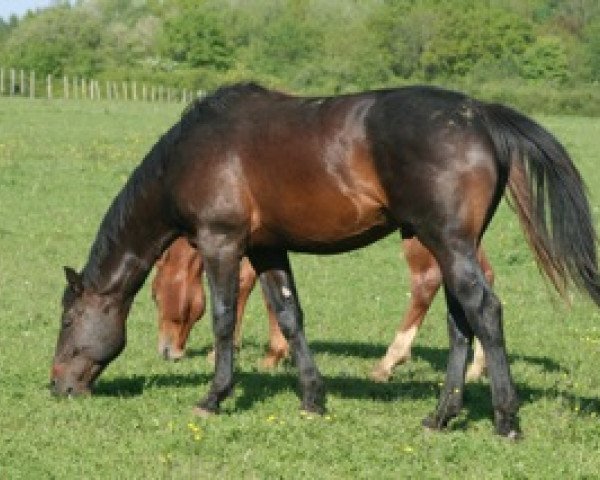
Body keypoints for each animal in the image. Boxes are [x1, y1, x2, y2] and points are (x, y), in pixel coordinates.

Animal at [151, 234, 492, 380]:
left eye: (154, 295)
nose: (166, 351)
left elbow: (252, 285)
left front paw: (271, 354)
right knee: (483, 276)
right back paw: (477, 367)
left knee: (428, 280)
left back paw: (389, 361)